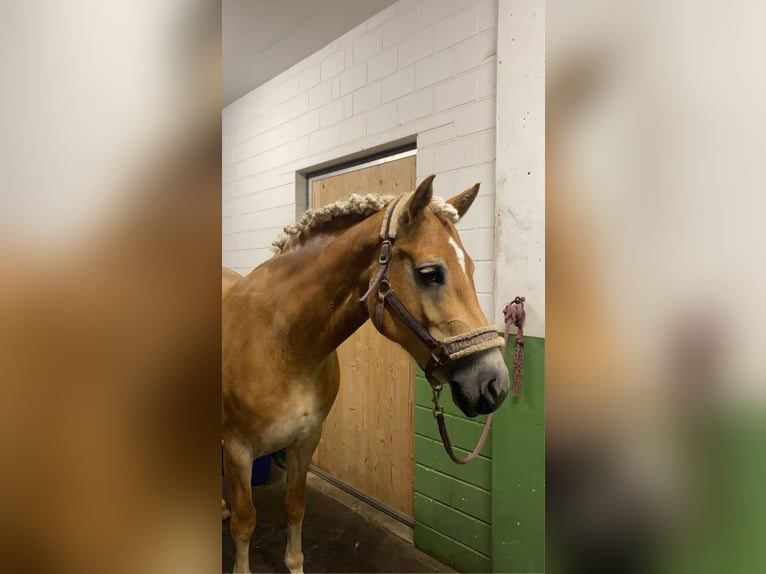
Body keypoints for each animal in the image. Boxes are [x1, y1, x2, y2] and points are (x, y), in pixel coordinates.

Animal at [222, 177, 510, 574]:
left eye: (470, 267)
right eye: (430, 273)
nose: (495, 383)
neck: (281, 342)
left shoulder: (306, 440)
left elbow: (295, 506)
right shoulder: (238, 450)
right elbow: (244, 522)